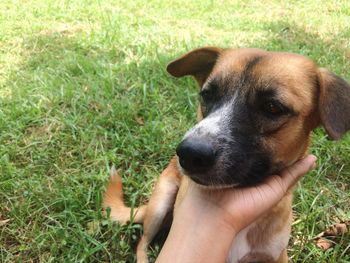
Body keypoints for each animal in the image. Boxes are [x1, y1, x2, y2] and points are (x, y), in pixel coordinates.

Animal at [103, 48, 350, 263]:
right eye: (207, 95)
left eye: (272, 107)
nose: (189, 153)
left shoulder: (276, 256)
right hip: (160, 203)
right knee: (142, 243)